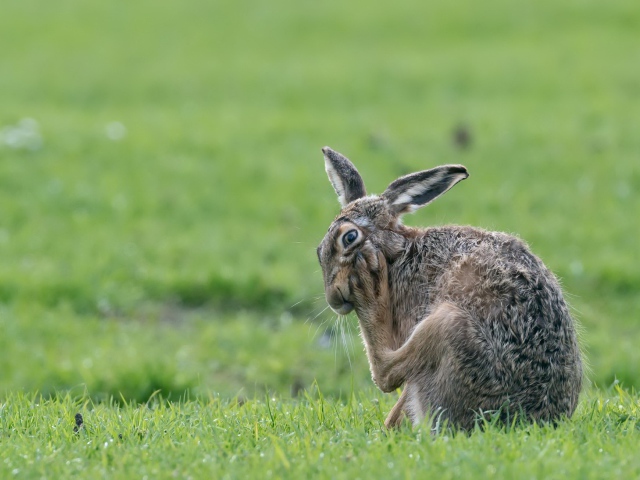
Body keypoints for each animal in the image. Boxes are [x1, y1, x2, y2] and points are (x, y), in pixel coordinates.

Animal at [317, 146, 583, 430]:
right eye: (319, 250)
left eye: (349, 237)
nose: (333, 299)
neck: (396, 252)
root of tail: (532, 419)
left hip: (449, 324)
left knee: (385, 374)